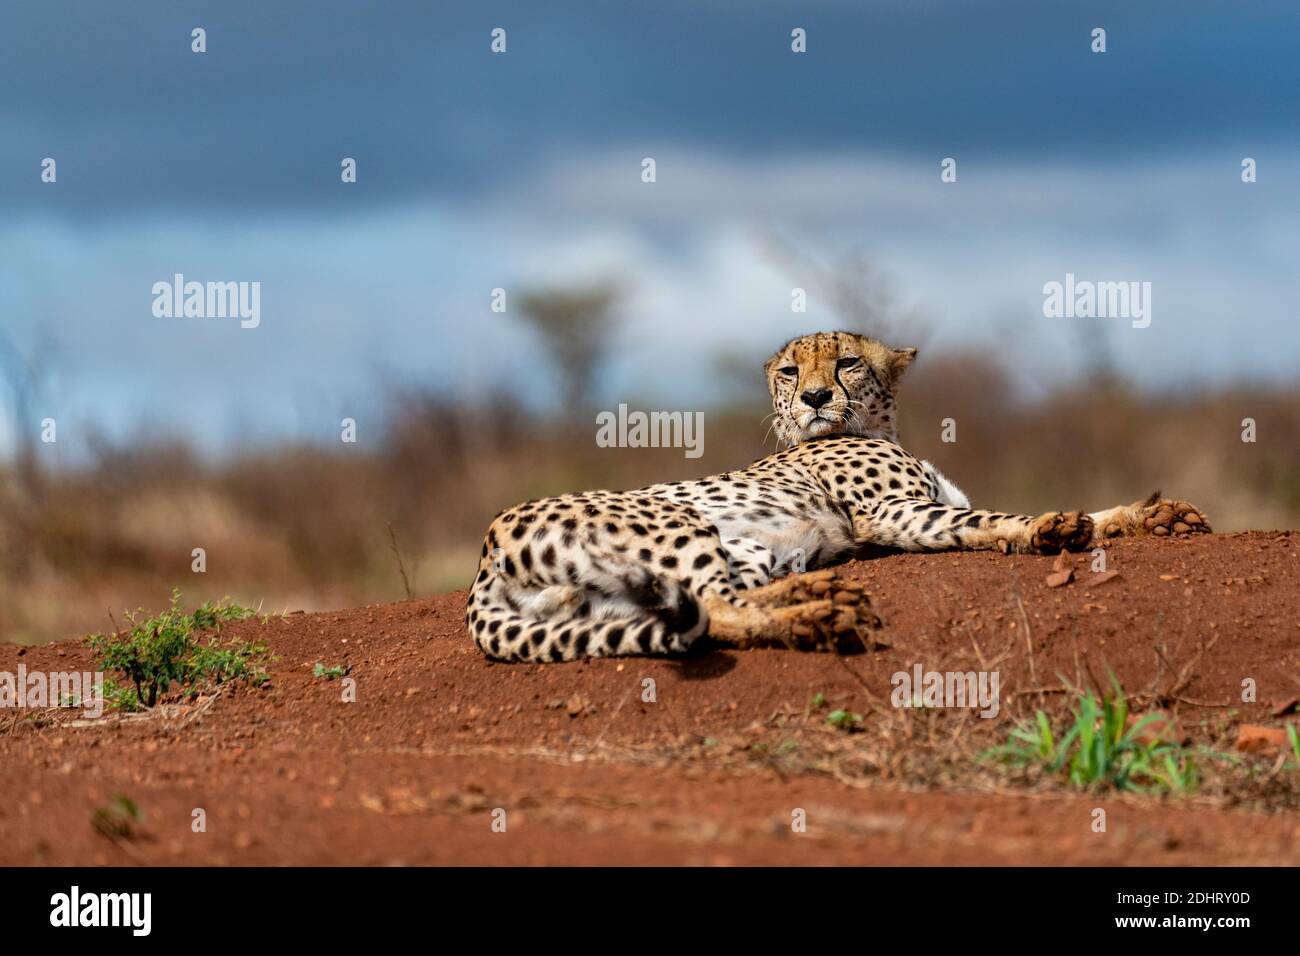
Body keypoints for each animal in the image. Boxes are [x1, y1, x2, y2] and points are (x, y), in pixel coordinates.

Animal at [465, 332, 1206, 660]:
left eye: (848, 362)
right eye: (792, 372)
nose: (818, 397)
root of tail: (485, 552)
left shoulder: (905, 516)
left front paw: (1148, 516)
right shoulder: (891, 514)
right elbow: (994, 517)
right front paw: (1048, 528)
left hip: (720, 558)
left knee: (714, 602)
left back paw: (818, 595)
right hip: (677, 519)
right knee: (711, 612)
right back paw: (817, 618)